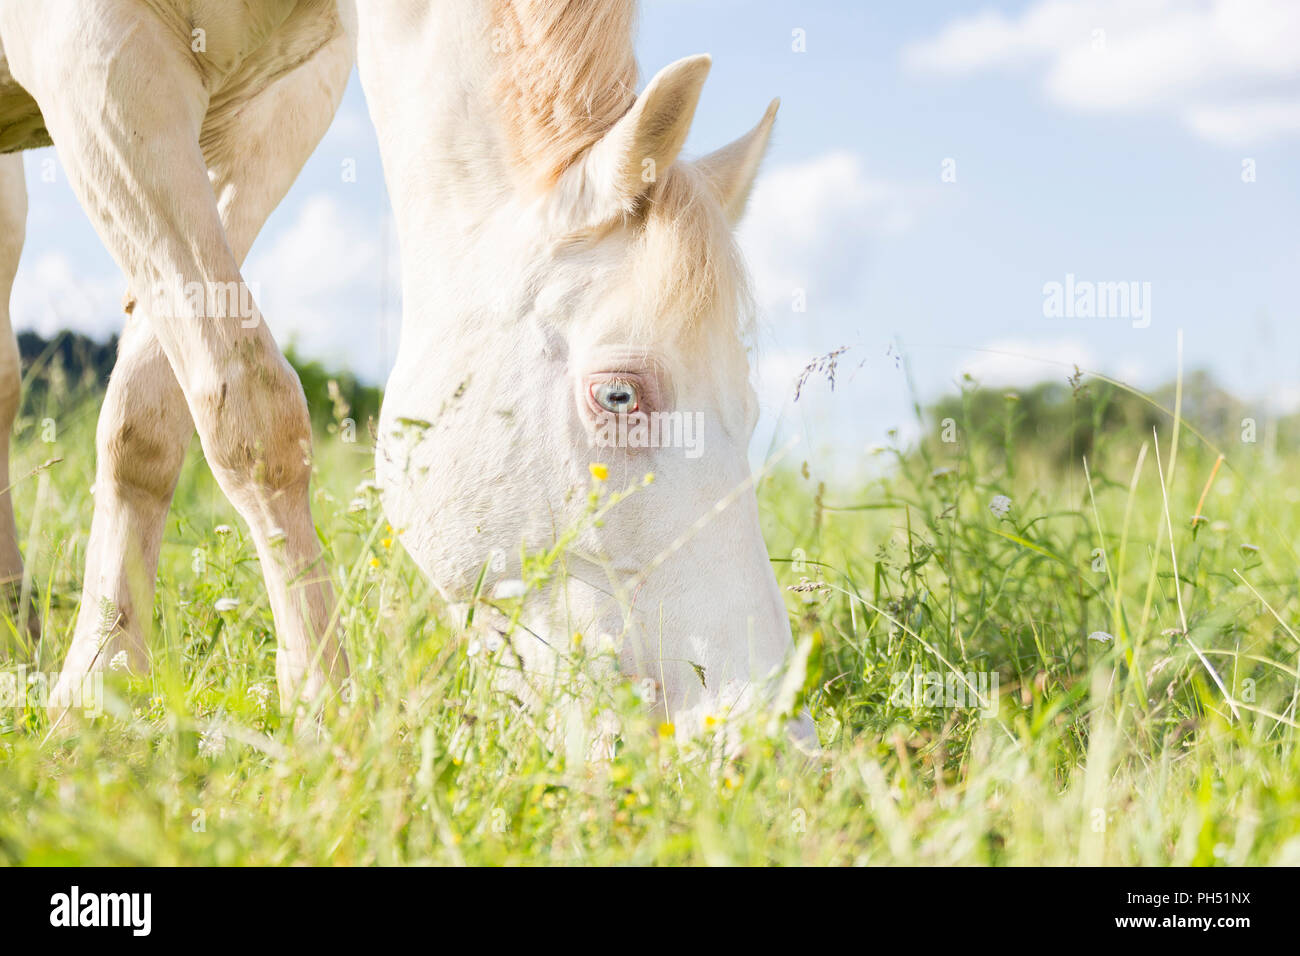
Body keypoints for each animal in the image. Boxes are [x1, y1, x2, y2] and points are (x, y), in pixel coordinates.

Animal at [0, 0, 799, 735]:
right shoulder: (100, 66)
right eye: (619, 395)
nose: (761, 733)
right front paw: (316, 710)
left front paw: (102, 685)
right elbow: (251, 413)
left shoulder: (283, 102)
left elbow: (150, 413)